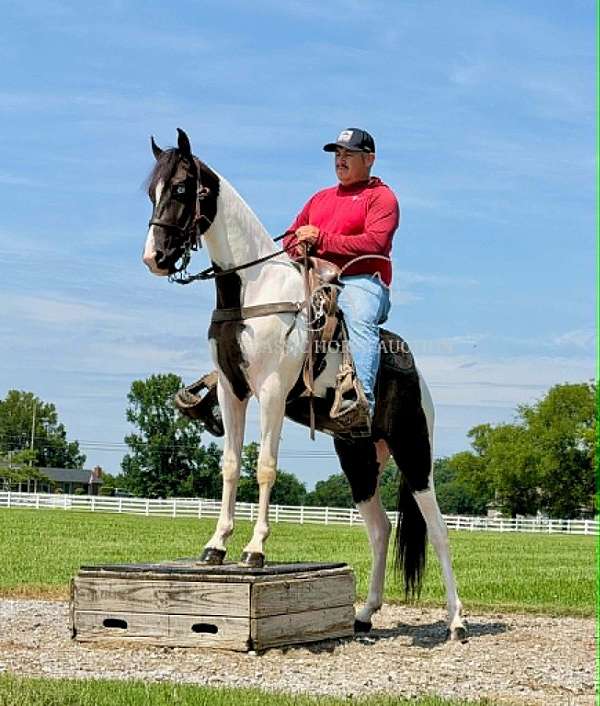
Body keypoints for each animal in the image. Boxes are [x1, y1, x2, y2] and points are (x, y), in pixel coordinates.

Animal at [142, 128, 467, 640]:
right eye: (150, 192)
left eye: (179, 188)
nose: (154, 257)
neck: (250, 289)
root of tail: (416, 374)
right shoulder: (233, 393)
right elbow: (231, 466)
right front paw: (216, 546)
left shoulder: (272, 393)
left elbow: (265, 468)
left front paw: (255, 551)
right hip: (358, 457)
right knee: (380, 529)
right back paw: (364, 613)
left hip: (415, 450)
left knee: (437, 530)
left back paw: (456, 620)